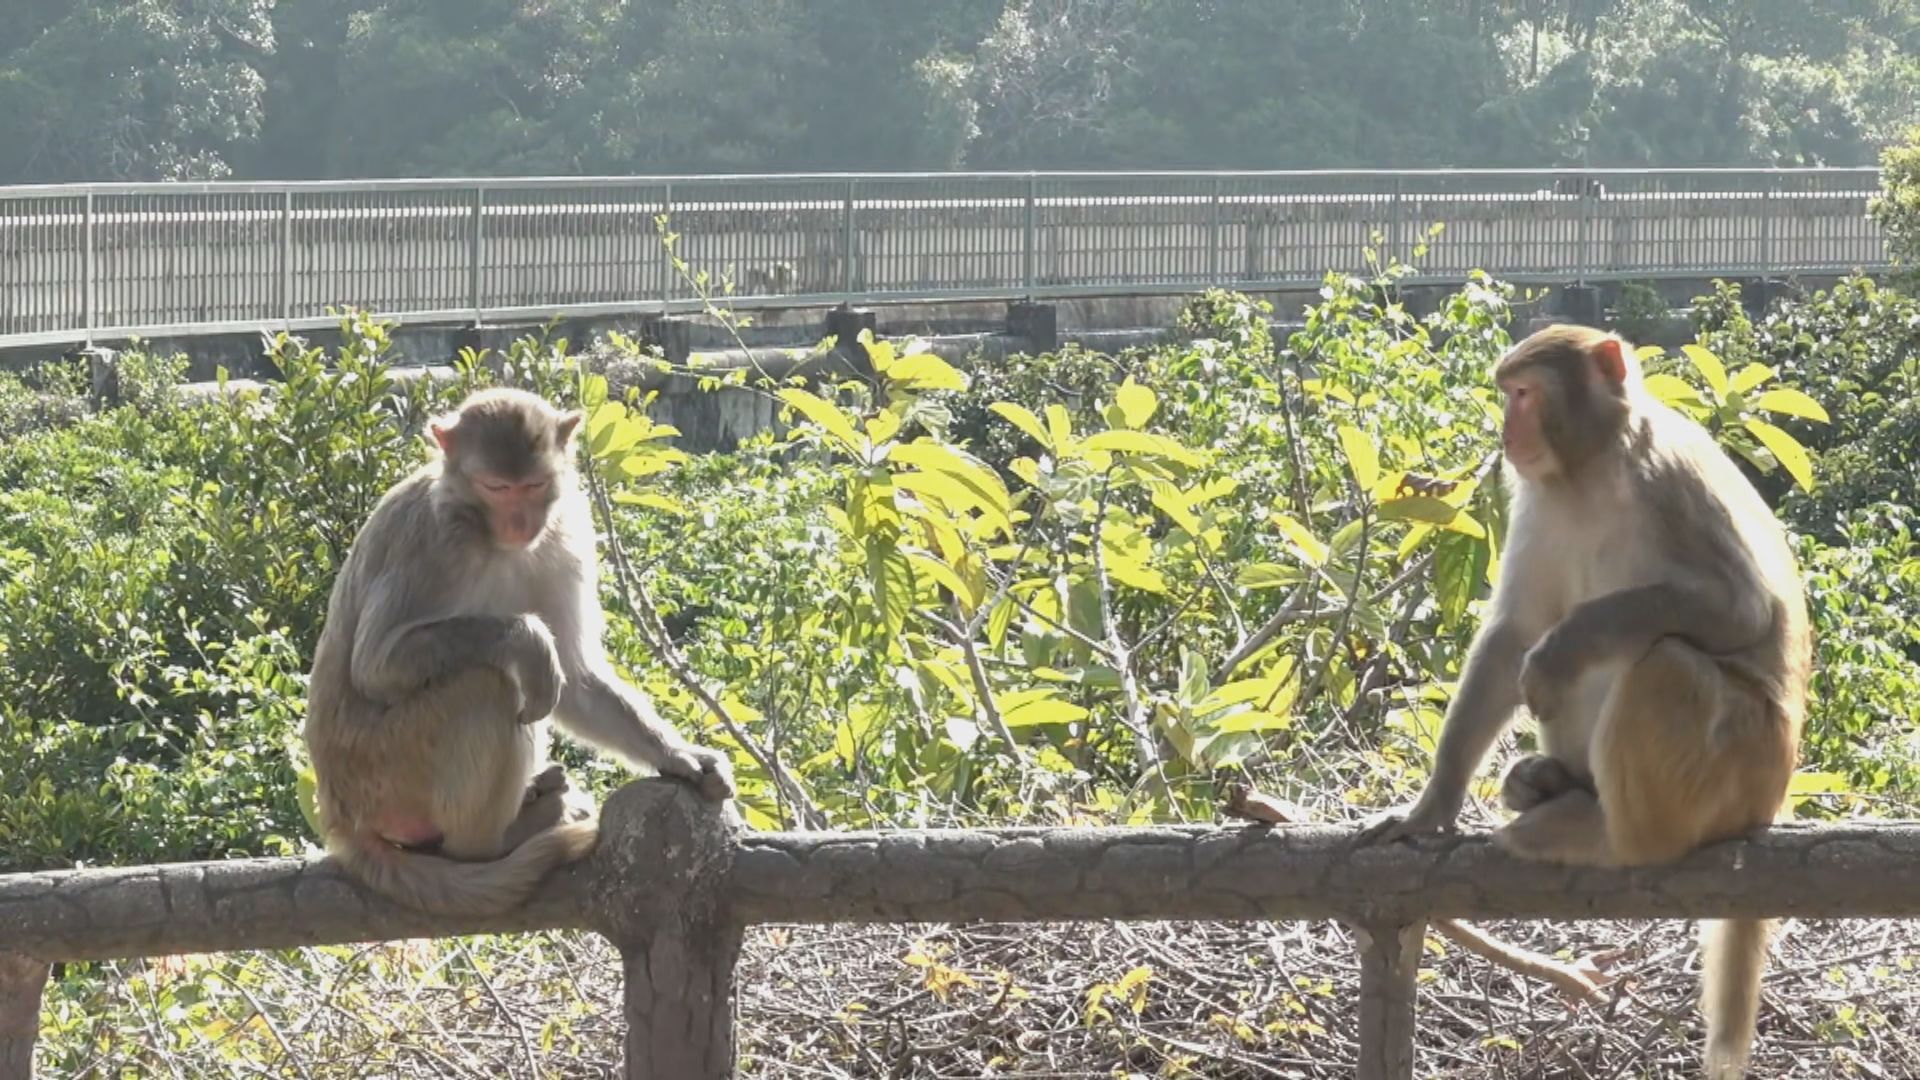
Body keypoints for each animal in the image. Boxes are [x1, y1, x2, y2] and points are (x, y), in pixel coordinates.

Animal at [307, 382, 733, 910]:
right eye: (496, 487)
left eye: (533, 485)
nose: (519, 522)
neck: (486, 533)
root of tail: (340, 823)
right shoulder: (431, 542)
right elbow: (373, 667)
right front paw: (527, 639)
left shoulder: (567, 532)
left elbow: (576, 675)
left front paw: (677, 755)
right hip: (387, 774)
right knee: (487, 685)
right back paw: (498, 839)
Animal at [1374, 322, 1804, 1068]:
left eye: (1523, 393)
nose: (1505, 430)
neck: (1593, 468)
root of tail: (1769, 802)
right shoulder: (1535, 494)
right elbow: (1514, 633)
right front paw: (1433, 806)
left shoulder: (1674, 481)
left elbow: (1740, 611)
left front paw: (1567, 644)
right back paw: (1554, 784)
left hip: (1744, 766)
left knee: (1666, 664)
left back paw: (1607, 833)